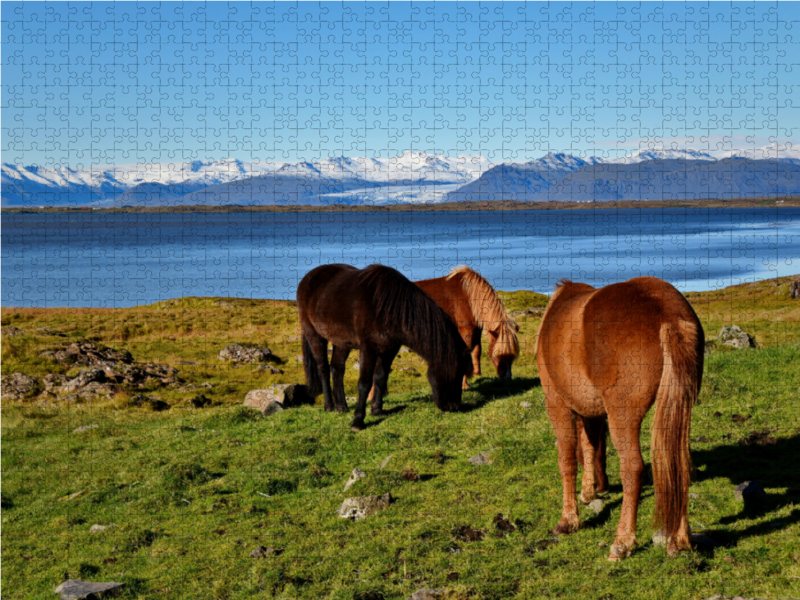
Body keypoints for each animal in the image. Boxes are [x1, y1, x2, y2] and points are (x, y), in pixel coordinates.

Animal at [296, 264, 472, 432]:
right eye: (456, 372)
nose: (453, 406)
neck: (388, 308)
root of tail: (307, 278)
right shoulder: (368, 348)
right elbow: (365, 383)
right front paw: (358, 422)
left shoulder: (389, 349)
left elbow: (380, 377)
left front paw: (377, 410)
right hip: (314, 334)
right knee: (323, 369)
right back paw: (329, 406)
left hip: (342, 342)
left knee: (337, 369)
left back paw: (342, 407)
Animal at [536, 278, 704, 560]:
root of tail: (667, 311)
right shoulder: (591, 409)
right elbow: (590, 447)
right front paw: (588, 491)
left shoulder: (557, 404)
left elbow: (567, 460)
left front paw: (568, 519)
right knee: (676, 463)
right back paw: (680, 539)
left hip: (622, 416)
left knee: (633, 468)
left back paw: (623, 541)